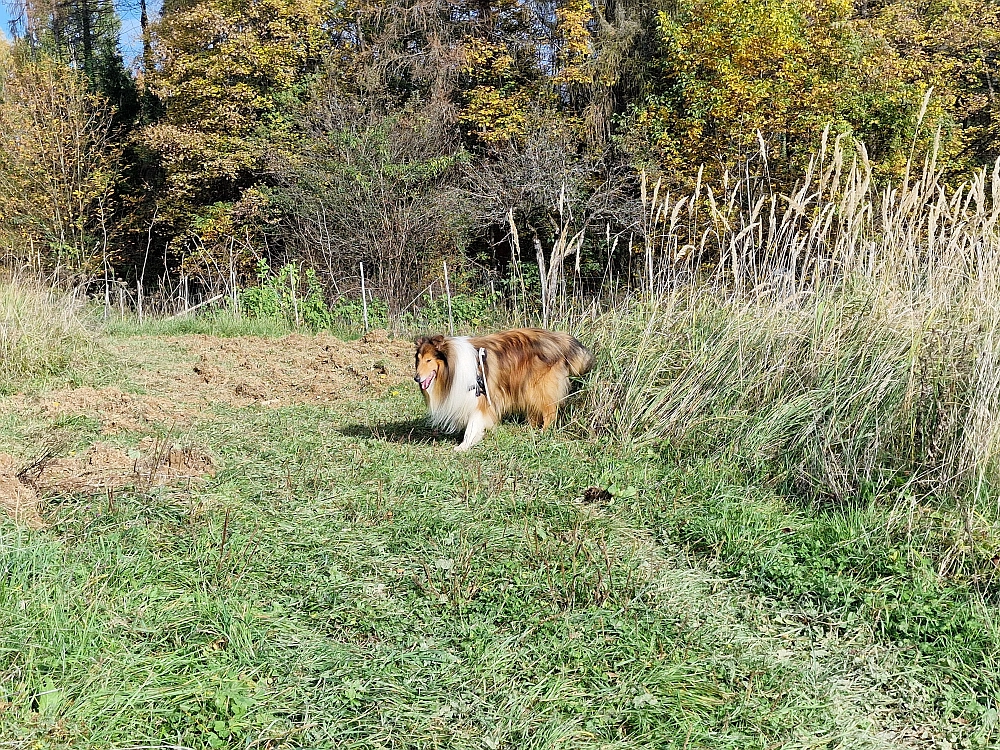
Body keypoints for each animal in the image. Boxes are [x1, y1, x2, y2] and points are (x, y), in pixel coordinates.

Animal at [414, 328, 592, 452]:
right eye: (419, 359)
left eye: (429, 360)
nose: (416, 378)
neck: (453, 367)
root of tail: (559, 338)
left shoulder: (480, 397)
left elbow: (472, 424)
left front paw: (464, 445)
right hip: (526, 385)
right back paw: (529, 429)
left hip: (539, 386)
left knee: (550, 411)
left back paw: (544, 431)